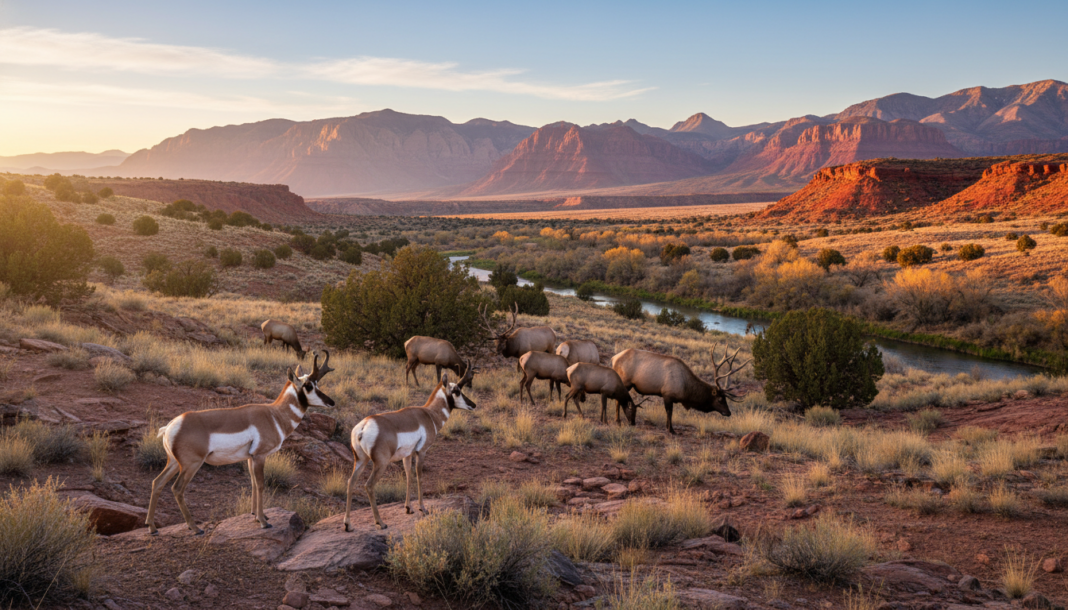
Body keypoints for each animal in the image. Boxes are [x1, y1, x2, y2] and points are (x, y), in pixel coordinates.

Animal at [146, 351, 335, 536]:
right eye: (309, 385)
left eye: (317, 384)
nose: (331, 402)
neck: (274, 415)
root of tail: (172, 425)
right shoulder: (259, 456)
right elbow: (261, 485)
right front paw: (264, 522)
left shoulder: (250, 458)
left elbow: (253, 483)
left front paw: (257, 516)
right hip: (191, 465)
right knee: (177, 489)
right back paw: (195, 528)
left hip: (173, 463)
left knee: (157, 482)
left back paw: (152, 527)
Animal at [343, 367, 475, 531]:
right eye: (457, 390)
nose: (473, 405)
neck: (429, 414)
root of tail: (364, 425)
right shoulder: (422, 452)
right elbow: (419, 477)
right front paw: (422, 508)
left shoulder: (407, 455)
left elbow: (408, 476)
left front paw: (408, 508)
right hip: (380, 464)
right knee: (369, 485)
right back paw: (381, 522)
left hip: (361, 461)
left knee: (351, 482)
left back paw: (348, 524)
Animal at [611, 343, 750, 434]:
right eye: (720, 399)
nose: (728, 412)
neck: (686, 390)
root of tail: (613, 358)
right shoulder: (667, 394)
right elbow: (669, 412)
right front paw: (671, 429)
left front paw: (669, 428)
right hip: (625, 382)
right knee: (618, 400)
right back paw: (617, 421)